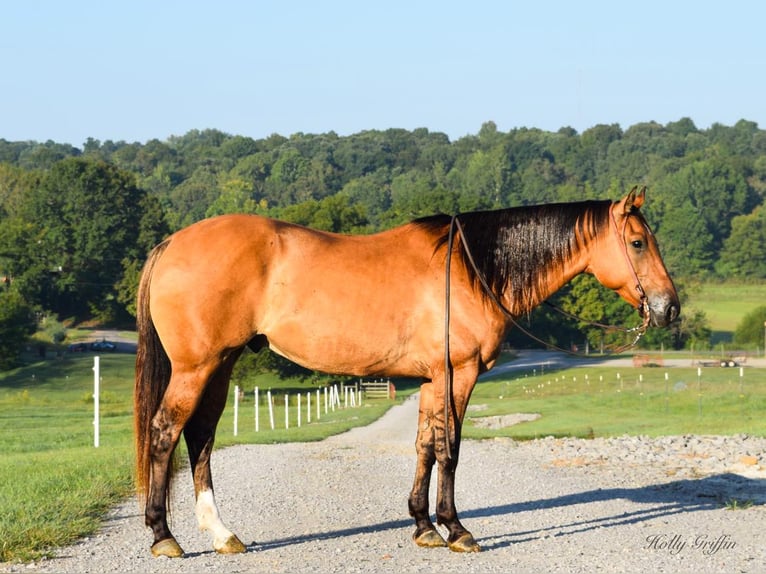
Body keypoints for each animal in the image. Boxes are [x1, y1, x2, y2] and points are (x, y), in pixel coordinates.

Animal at [135, 188, 680, 560]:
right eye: (637, 242)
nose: (669, 308)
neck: (471, 270)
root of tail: (172, 243)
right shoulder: (458, 374)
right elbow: (450, 448)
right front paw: (456, 529)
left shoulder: (431, 379)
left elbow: (424, 446)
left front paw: (423, 527)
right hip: (197, 367)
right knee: (165, 433)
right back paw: (164, 536)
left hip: (220, 365)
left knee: (200, 437)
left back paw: (222, 534)